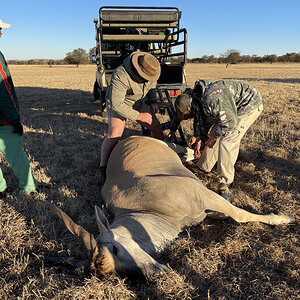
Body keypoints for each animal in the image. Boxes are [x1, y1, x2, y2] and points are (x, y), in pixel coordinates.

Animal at [44, 136, 292, 278]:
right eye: (116, 274)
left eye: (115, 249)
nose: (154, 275)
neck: (148, 209)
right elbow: (224, 213)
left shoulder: (204, 195)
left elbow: (240, 214)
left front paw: (282, 218)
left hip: (166, 144)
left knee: (181, 147)